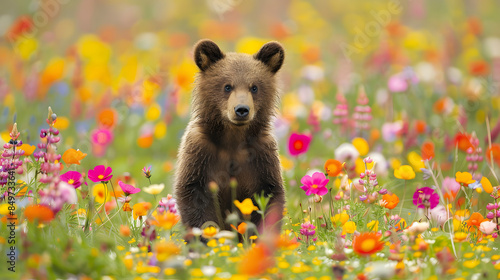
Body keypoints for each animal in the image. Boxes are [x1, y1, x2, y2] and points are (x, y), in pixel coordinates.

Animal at [174, 38, 286, 233]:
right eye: (227, 86)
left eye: (254, 87)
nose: (241, 109)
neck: (233, 137)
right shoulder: (200, 153)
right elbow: (194, 196)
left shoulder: (262, 156)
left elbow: (269, 195)